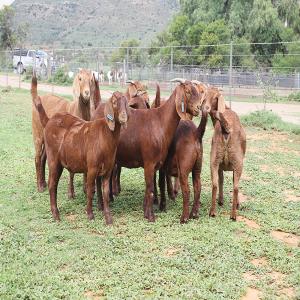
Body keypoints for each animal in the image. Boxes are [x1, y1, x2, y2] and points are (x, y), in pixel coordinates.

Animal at [32, 89, 129, 223]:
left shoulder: (108, 169)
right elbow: (90, 191)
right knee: (52, 184)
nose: (124, 117)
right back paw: (56, 214)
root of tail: (49, 120)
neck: (104, 134)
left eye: (126, 103)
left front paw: (108, 218)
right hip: (53, 160)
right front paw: (90, 214)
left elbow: (105, 192)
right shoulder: (92, 168)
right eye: (114, 102)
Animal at [92, 78, 203, 221]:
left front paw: (147, 212)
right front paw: (151, 216)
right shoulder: (149, 162)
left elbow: (152, 186)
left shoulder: (157, 164)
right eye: (188, 91)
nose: (198, 108)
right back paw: (101, 205)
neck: (160, 121)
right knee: (98, 179)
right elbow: (150, 187)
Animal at [203, 86, 247, 220]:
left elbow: (221, 180)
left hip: (214, 159)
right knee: (235, 187)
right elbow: (228, 180)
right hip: (237, 161)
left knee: (214, 184)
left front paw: (222, 201)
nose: (205, 107)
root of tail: (226, 128)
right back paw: (233, 215)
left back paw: (212, 212)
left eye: (214, 97)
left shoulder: (220, 164)